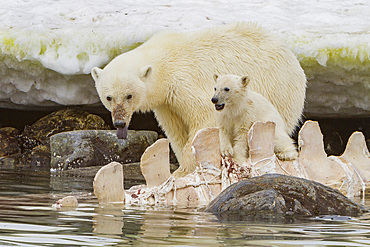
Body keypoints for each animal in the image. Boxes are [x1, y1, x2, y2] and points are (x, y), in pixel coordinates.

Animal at [90, 22, 306, 178]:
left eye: (129, 95)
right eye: (109, 97)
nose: (119, 122)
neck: (164, 63)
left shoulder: (185, 82)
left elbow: (204, 118)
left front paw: (184, 169)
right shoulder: (166, 103)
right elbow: (175, 130)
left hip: (279, 90)